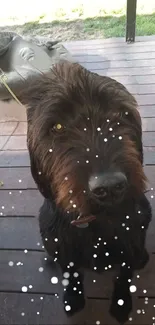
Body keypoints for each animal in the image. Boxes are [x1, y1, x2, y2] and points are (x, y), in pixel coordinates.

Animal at [19, 61, 151, 324]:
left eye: (120, 114)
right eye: (57, 126)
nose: (109, 187)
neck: (98, 221)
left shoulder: (131, 237)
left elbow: (125, 273)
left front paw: (121, 304)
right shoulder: (61, 244)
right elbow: (70, 272)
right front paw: (73, 298)